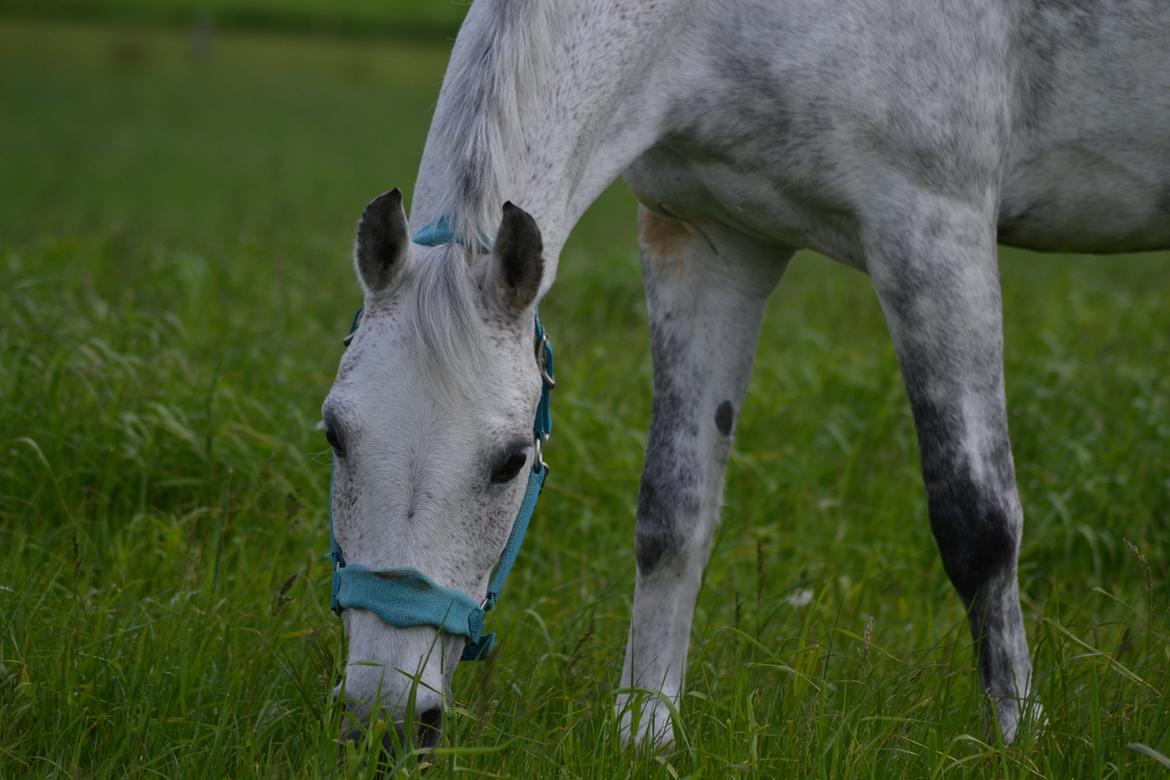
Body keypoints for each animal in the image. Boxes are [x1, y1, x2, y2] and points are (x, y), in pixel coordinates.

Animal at [320, 0, 1170, 753]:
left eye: (509, 463)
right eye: (333, 434)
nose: (385, 723)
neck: (705, 21)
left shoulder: (936, 232)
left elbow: (978, 523)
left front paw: (1019, 739)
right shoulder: (708, 240)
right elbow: (673, 512)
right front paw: (645, 730)